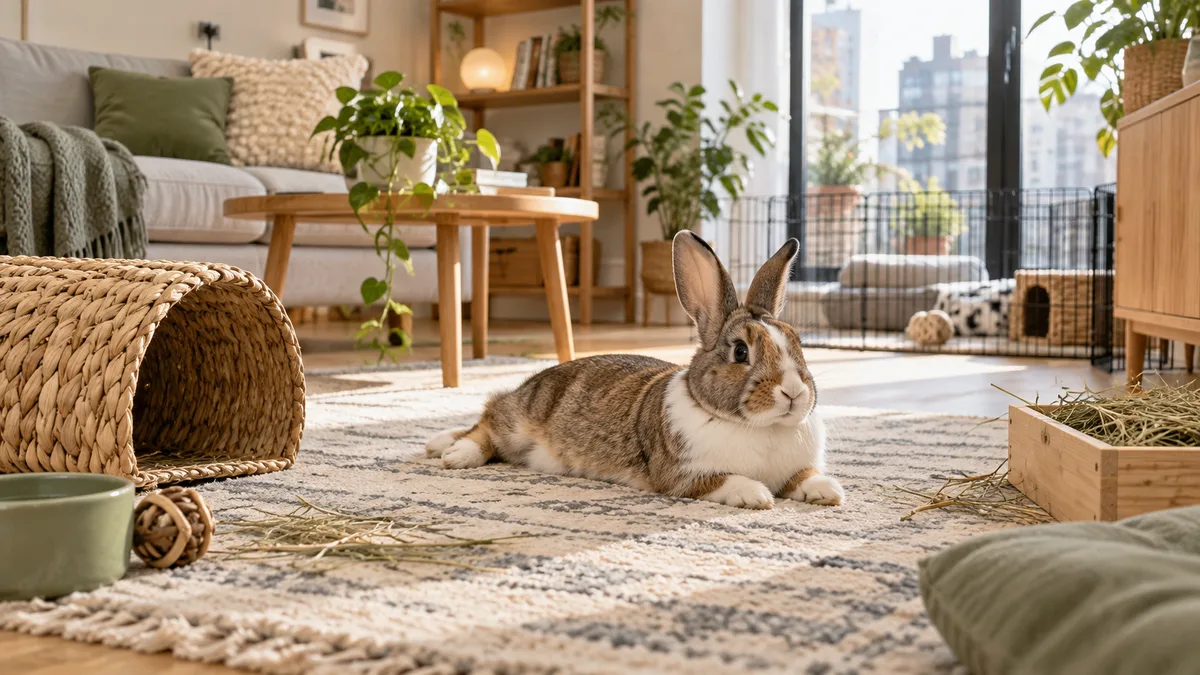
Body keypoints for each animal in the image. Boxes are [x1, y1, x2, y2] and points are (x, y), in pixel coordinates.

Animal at [425, 231, 843, 510]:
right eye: (741, 351)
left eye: (797, 341)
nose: (794, 392)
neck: (759, 427)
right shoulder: (681, 475)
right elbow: (722, 481)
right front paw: (755, 495)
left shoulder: (794, 467)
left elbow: (804, 476)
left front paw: (829, 490)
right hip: (518, 422)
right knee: (487, 421)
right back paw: (452, 452)